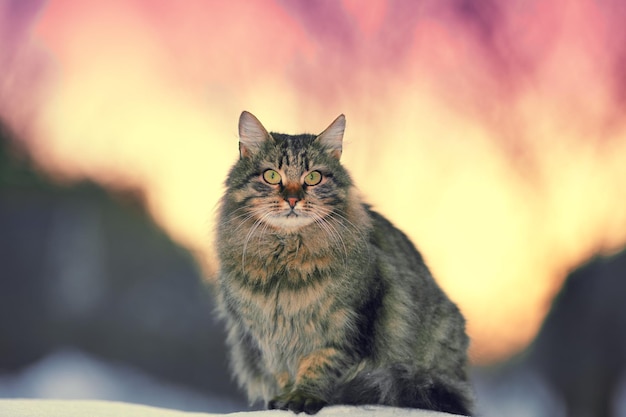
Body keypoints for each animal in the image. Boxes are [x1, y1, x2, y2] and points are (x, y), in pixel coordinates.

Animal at [214, 109, 472, 412]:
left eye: (313, 177)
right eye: (271, 175)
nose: (292, 199)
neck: (287, 257)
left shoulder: (347, 322)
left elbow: (320, 365)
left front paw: (303, 397)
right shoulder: (266, 336)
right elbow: (282, 373)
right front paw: (283, 398)